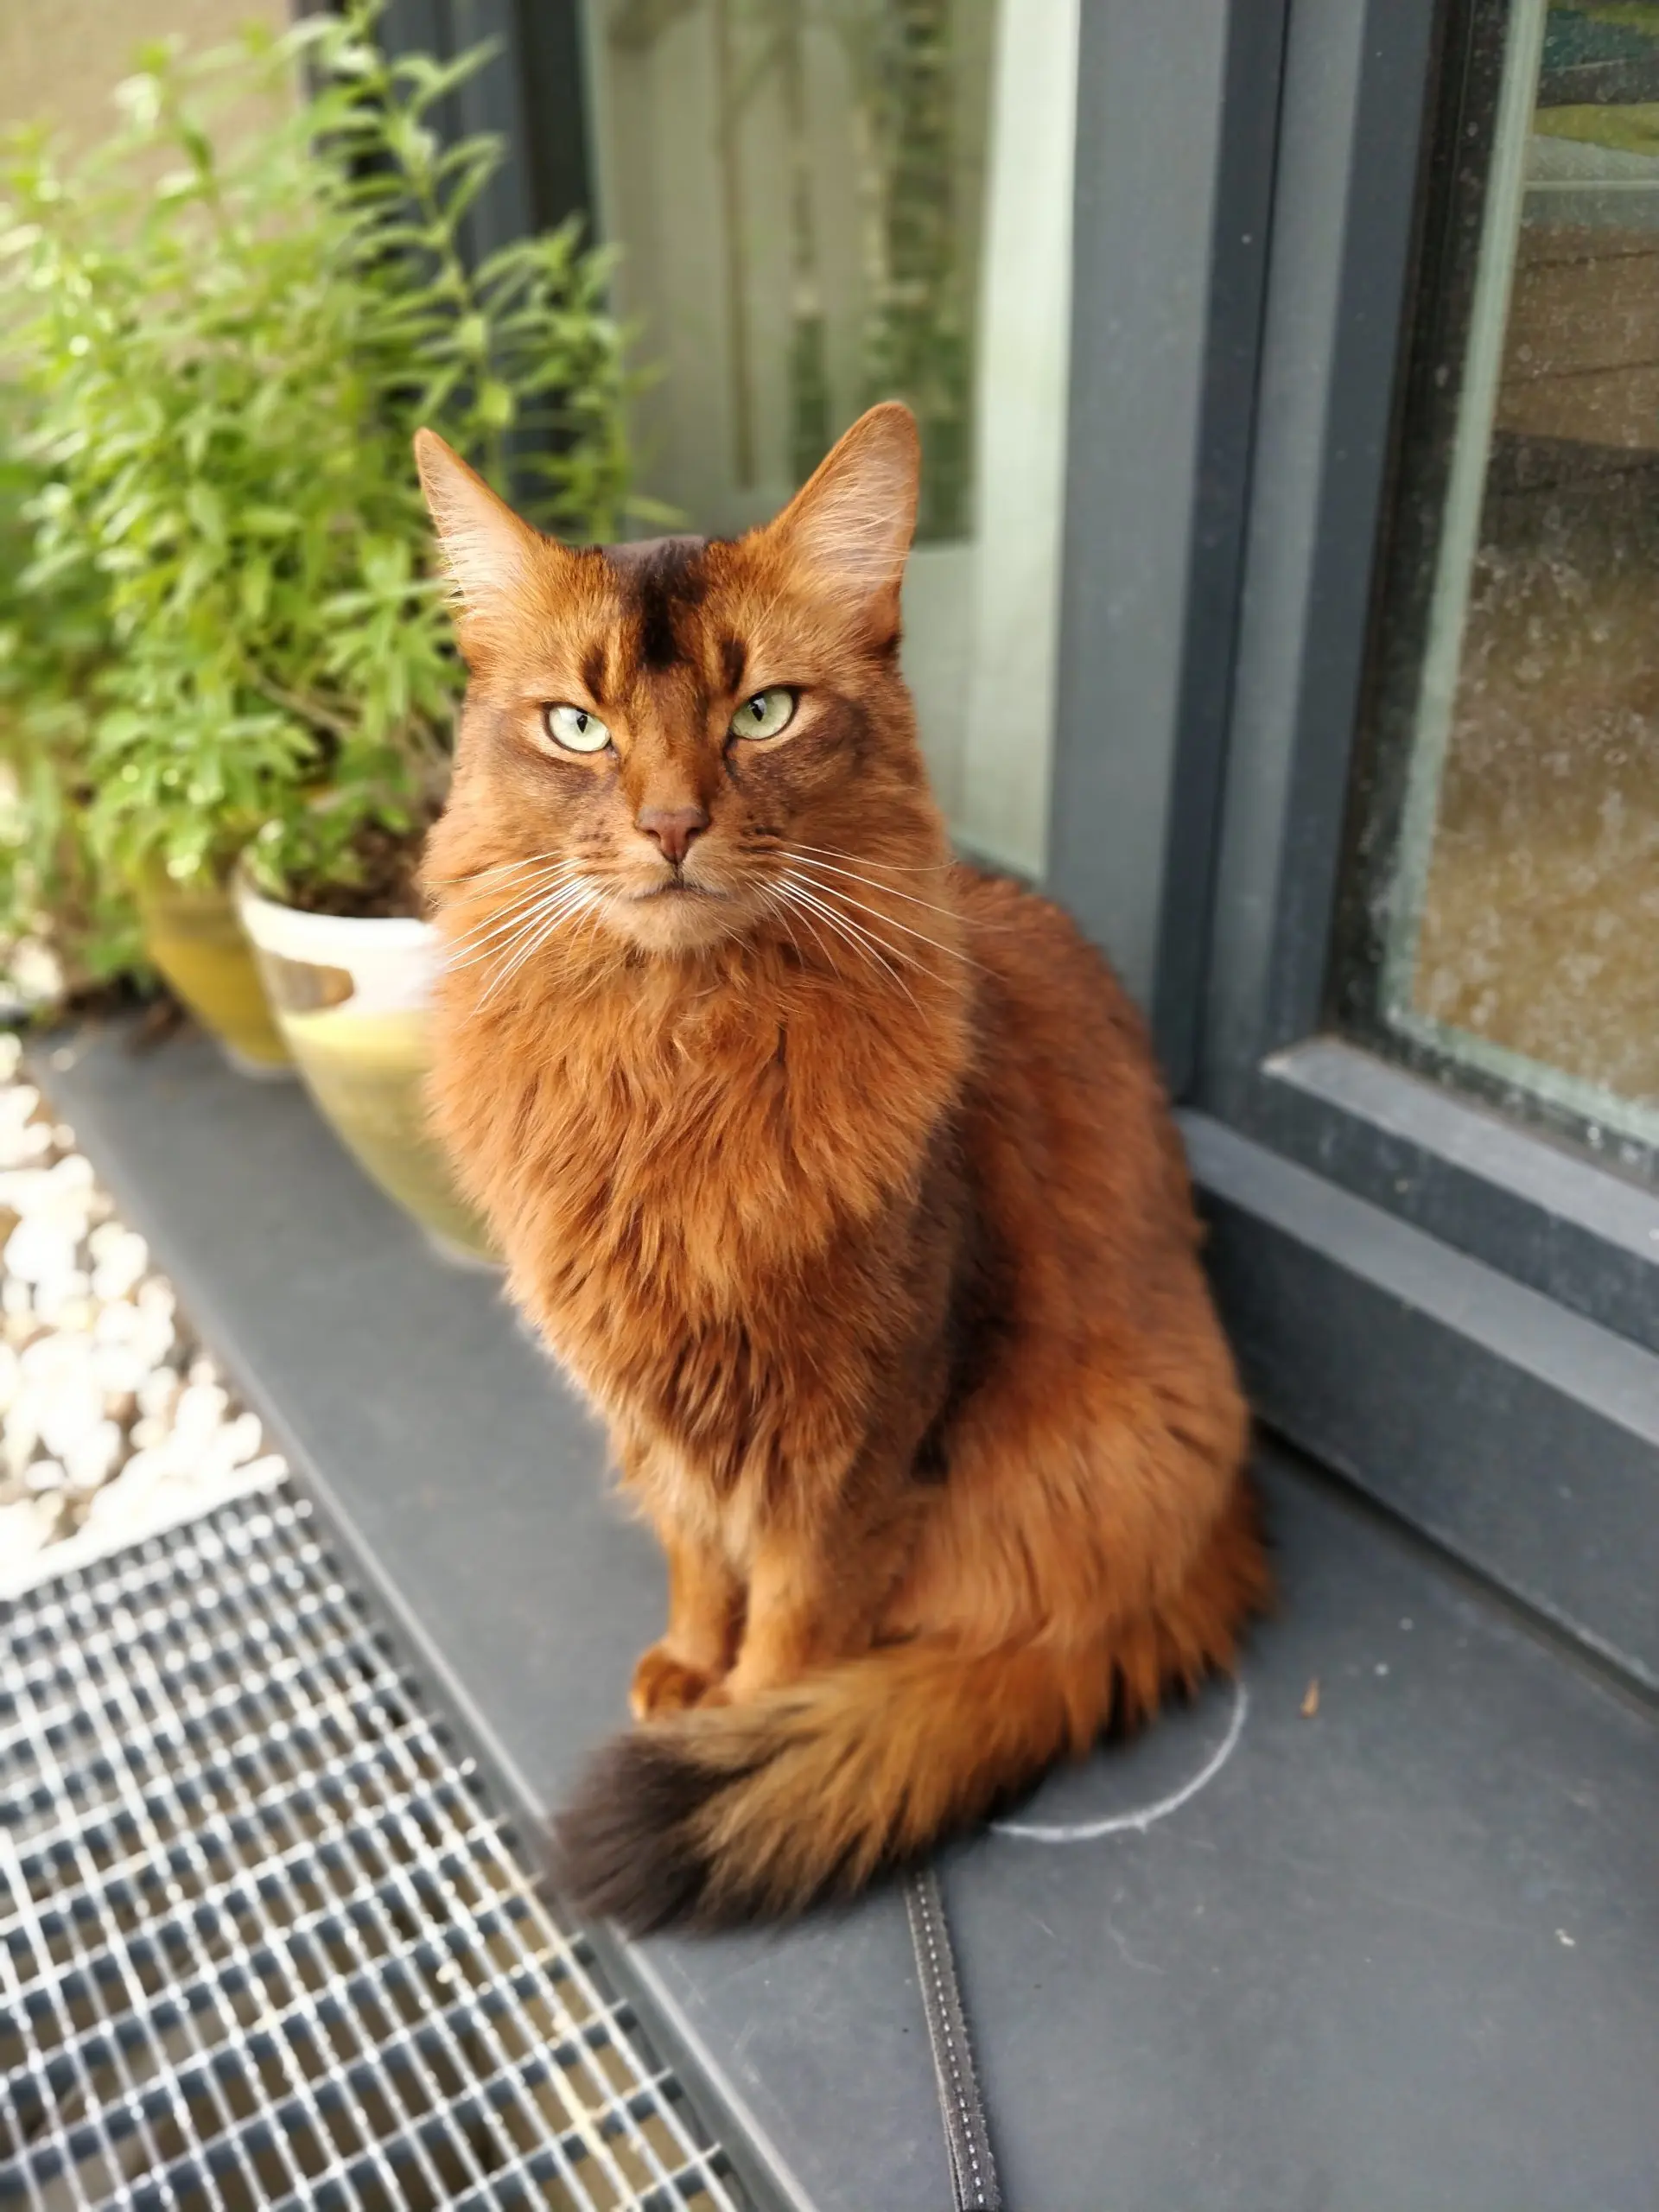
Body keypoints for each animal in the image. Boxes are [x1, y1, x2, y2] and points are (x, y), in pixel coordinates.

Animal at [416, 407, 1274, 1929]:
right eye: (577, 726)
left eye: (764, 713)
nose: (670, 827)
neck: (672, 1067)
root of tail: (1217, 1534)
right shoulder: (658, 1410)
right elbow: (698, 1554)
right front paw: (687, 1666)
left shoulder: (856, 1433)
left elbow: (796, 1613)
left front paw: (742, 1717)